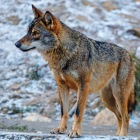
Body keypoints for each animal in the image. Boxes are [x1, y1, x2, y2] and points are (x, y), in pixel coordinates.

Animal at [14, 4, 135, 138]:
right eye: (28, 32)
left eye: (36, 33)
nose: (16, 44)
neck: (64, 54)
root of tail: (129, 55)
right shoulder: (62, 86)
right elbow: (64, 112)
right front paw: (61, 129)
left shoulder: (83, 86)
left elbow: (77, 112)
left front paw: (75, 131)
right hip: (107, 100)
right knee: (119, 116)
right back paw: (117, 135)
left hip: (119, 95)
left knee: (126, 116)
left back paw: (122, 136)